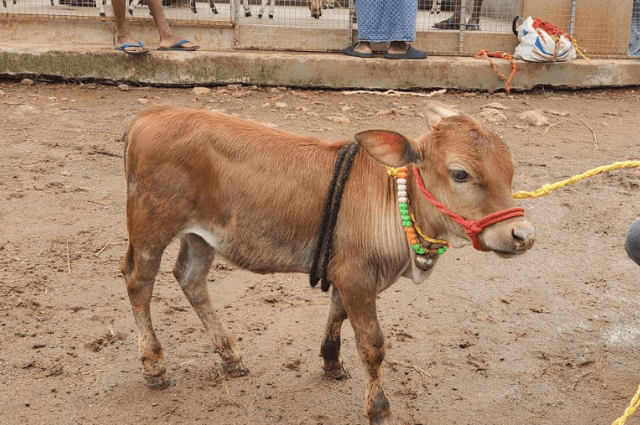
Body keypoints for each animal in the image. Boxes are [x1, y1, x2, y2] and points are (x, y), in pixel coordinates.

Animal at [120, 102, 535, 424]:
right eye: (460, 173)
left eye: (510, 169)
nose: (522, 235)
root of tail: (153, 113)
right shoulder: (356, 278)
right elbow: (372, 344)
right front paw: (379, 409)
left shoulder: (346, 272)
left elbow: (337, 314)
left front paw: (331, 362)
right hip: (150, 226)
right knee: (138, 282)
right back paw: (154, 365)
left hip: (201, 236)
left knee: (190, 279)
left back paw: (230, 355)